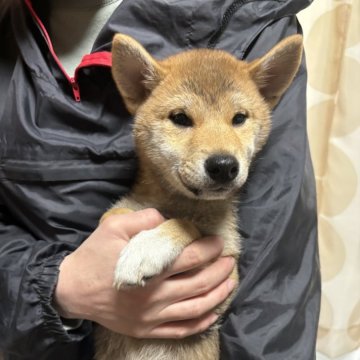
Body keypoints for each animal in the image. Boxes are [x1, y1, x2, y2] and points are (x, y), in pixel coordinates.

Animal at [94, 33, 302, 360]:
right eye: (180, 118)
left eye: (239, 118)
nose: (224, 165)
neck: (182, 203)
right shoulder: (124, 210)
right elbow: (114, 215)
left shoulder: (223, 280)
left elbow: (186, 225)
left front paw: (146, 248)